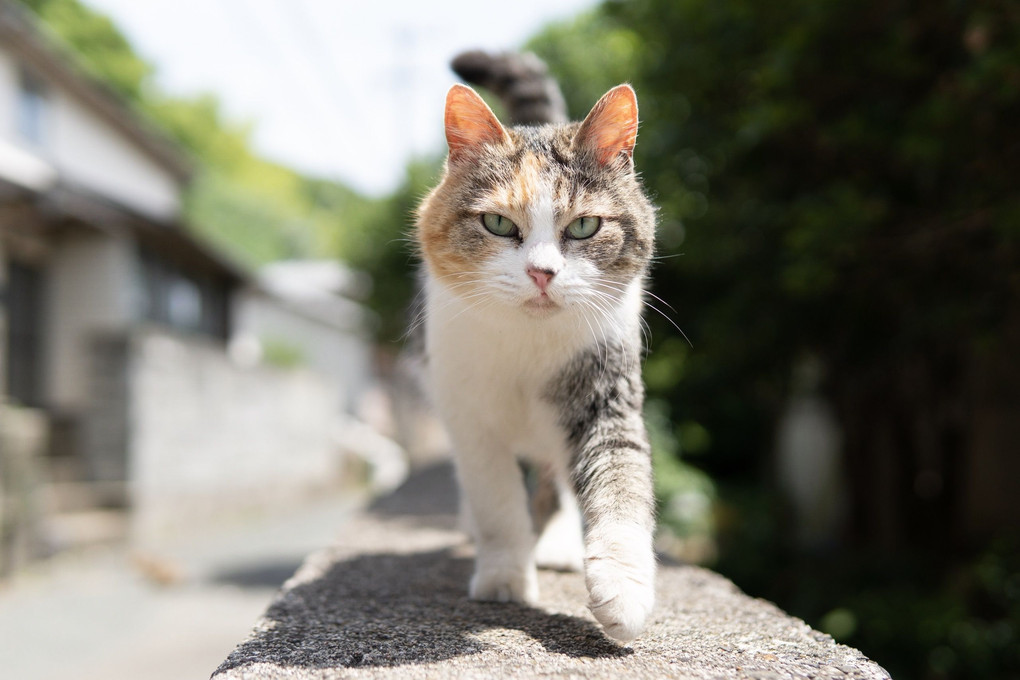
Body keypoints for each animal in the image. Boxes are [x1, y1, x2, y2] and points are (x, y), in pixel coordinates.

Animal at [416, 63, 660, 644]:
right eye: (499, 223)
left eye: (585, 226)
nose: (543, 273)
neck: (528, 342)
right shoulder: (469, 414)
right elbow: (497, 501)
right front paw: (504, 576)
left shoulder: (606, 390)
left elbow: (621, 479)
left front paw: (624, 589)